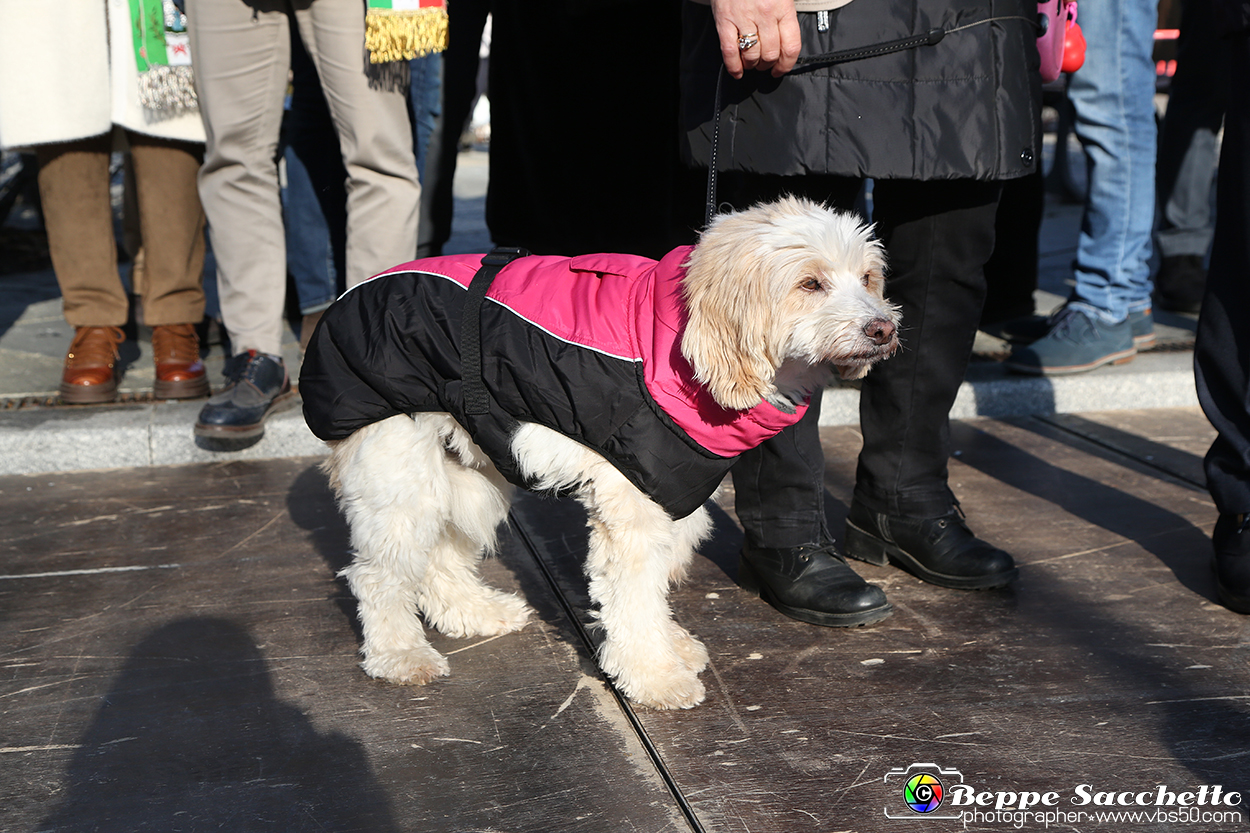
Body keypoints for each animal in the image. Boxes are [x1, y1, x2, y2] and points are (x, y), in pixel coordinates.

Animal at [312, 196, 900, 705]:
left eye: (867, 278)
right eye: (810, 283)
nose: (883, 328)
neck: (674, 342)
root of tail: (344, 302)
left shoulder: (671, 496)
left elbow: (652, 588)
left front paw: (668, 645)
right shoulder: (633, 508)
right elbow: (633, 598)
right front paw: (655, 675)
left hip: (468, 473)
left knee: (438, 556)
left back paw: (474, 613)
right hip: (400, 475)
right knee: (378, 575)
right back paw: (400, 654)